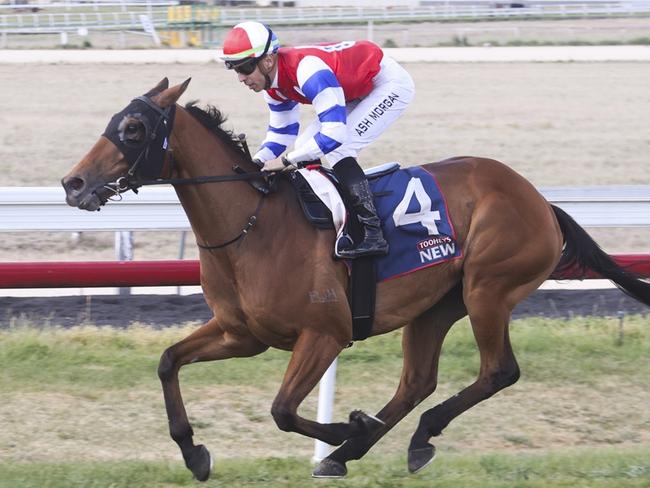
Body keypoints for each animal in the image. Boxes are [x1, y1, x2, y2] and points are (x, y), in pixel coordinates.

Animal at [62, 79, 648, 480]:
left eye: (134, 129)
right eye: (114, 120)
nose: (73, 183)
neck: (252, 226)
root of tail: (541, 202)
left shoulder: (325, 334)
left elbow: (282, 410)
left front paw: (347, 426)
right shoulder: (240, 334)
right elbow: (168, 362)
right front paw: (194, 452)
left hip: (488, 289)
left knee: (498, 371)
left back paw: (392, 437)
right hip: (436, 305)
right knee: (417, 382)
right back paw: (366, 448)